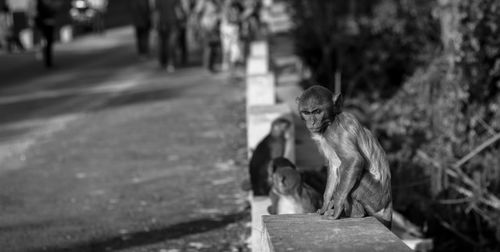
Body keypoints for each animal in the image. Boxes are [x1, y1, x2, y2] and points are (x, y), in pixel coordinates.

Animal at [294, 85, 392, 228]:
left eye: (317, 111)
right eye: (306, 112)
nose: (312, 122)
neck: (330, 121)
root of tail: (388, 202)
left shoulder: (335, 132)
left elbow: (353, 160)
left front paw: (337, 207)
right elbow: (334, 165)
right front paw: (325, 204)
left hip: (375, 197)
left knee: (346, 170)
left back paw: (357, 214)